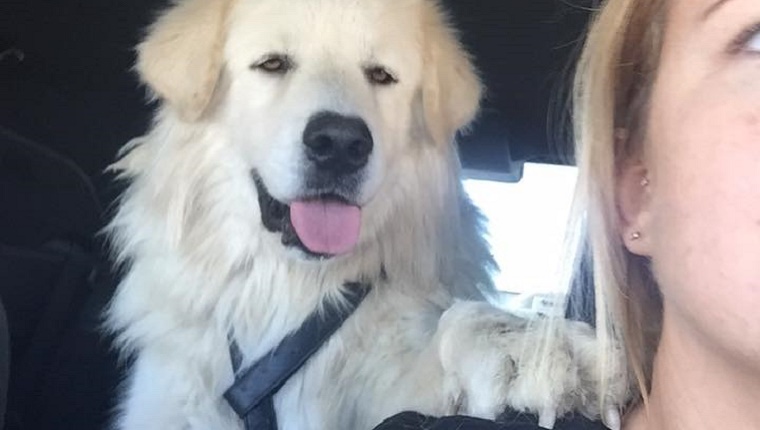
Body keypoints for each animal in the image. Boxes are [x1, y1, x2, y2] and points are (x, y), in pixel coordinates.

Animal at [108, 0, 628, 430]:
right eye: (272, 64)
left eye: (381, 75)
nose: (340, 144)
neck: (291, 292)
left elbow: (455, 336)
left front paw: (532, 342)